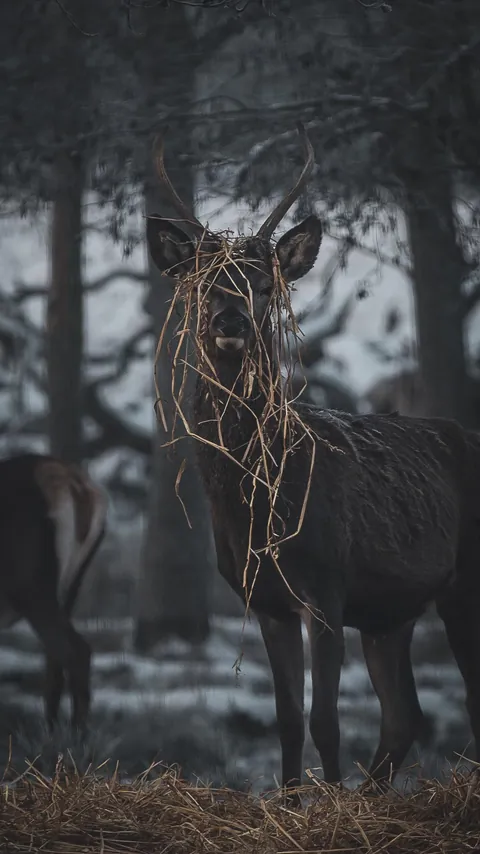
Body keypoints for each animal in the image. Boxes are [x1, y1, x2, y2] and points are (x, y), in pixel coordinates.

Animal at [145, 125, 480, 798]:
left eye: (266, 284)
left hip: (466, 582)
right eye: (202, 282)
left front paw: (329, 804)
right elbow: (287, 719)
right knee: (405, 715)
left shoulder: (327, 587)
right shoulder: (269, 603)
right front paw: (294, 801)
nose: (230, 318)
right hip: (391, 613)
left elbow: (326, 718)